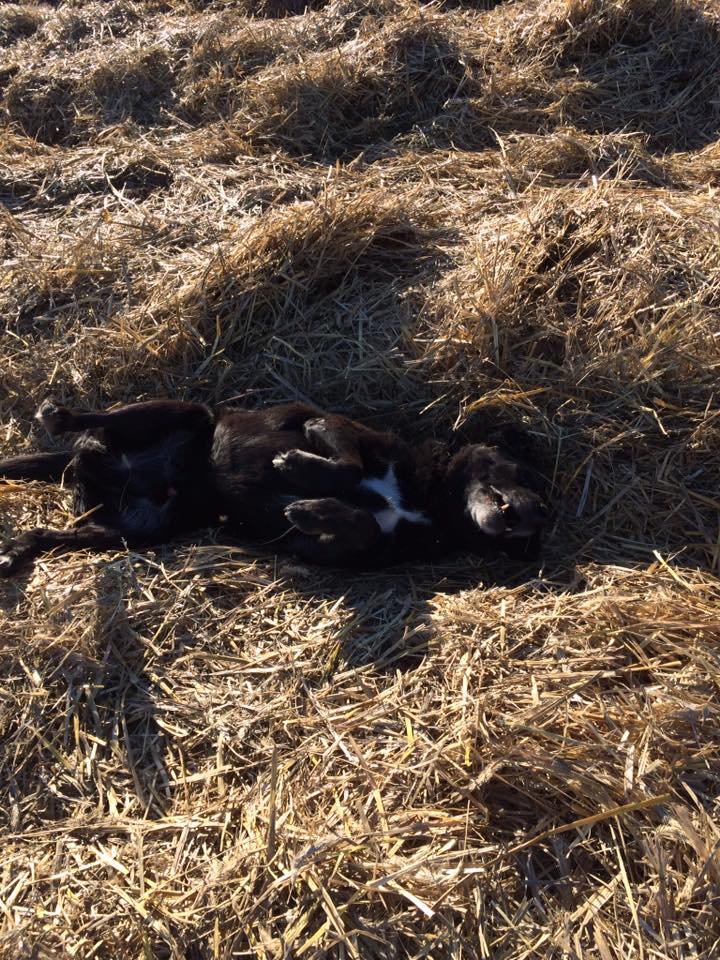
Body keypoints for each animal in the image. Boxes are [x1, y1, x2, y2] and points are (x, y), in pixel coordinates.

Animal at [0, 394, 544, 572]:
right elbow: (345, 460)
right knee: (102, 417)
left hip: (140, 529)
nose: (533, 515)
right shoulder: (347, 429)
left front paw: (314, 509)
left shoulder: (329, 555)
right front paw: (299, 466)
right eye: (520, 471)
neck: (426, 498)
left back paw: (17, 550)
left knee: (53, 533)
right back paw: (61, 417)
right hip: (180, 412)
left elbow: (363, 525)